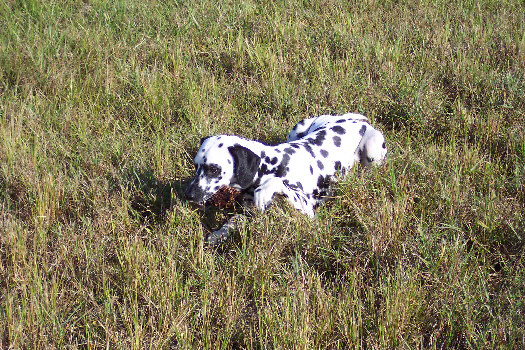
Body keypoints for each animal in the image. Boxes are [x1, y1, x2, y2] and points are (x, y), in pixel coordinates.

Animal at [184, 112, 384, 243]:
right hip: (298, 127)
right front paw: (219, 233)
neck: (272, 164)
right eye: (195, 166)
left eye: (214, 169)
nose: (188, 195)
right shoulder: (248, 212)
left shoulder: (307, 208)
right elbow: (232, 222)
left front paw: (266, 190)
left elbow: (278, 186)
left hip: (373, 152)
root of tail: (355, 120)